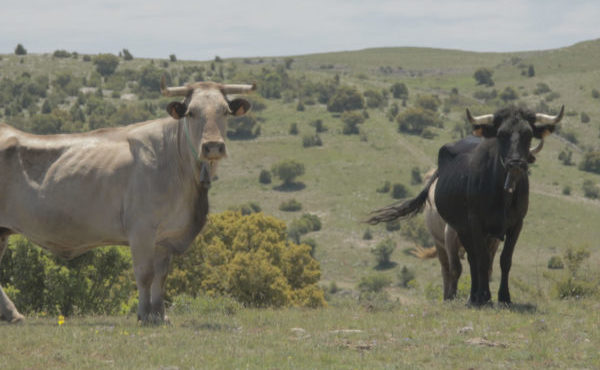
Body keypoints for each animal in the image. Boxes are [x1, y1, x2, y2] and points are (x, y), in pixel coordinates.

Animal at [0, 78, 255, 324]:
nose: (213, 146)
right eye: (191, 112)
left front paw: (160, 315)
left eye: (225, 111)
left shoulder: (166, 236)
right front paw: (144, 314)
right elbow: (145, 274)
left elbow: (161, 277)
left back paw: (12, 315)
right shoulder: (141, 229)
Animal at [366, 105, 564, 304]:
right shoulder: (473, 224)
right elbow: (478, 261)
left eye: (528, 134)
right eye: (501, 134)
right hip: (458, 231)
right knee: (462, 263)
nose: (516, 163)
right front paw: (482, 295)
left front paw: (504, 296)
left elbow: (505, 260)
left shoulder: (516, 224)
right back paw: (472, 295)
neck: (503, 193)